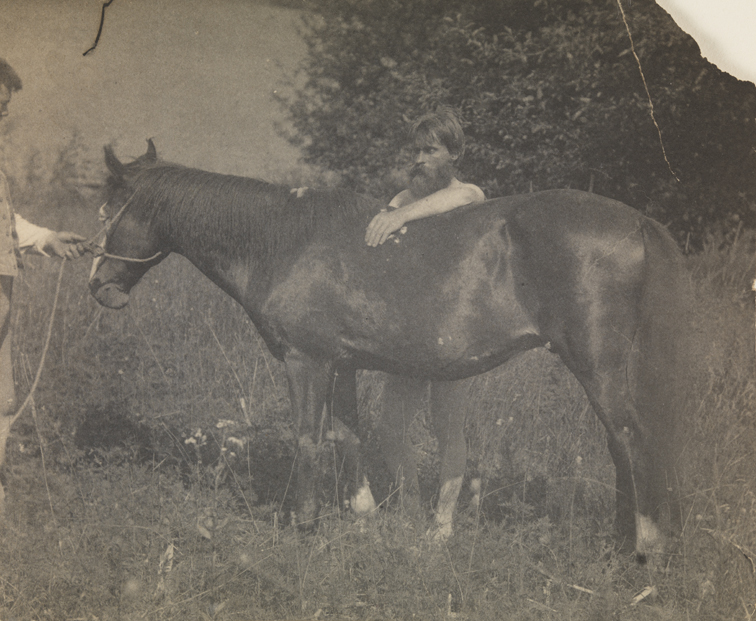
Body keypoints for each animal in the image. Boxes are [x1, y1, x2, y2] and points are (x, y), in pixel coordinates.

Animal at [89, 140, 691, 557]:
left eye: (110, 208)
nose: (99, 285)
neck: (287, 241)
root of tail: (639, 222)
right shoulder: (343, 365)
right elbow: (349, 436)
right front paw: (365, 516)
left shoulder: (306, 361)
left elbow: (308, 439)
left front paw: (306, 525)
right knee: (620, 446)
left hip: (596, 365)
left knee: (630, 441)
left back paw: (641, 549)